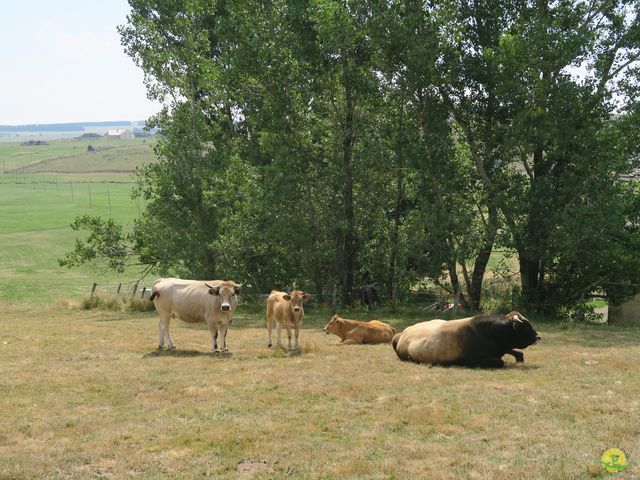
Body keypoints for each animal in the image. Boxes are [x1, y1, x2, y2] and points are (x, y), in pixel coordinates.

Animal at [392, 312, 536, 368]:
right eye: (525, 326)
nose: (537, 336)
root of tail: (401, 334)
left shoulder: (503, 347)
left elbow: (518, 352)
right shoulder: (473, 360)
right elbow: (500, 361)